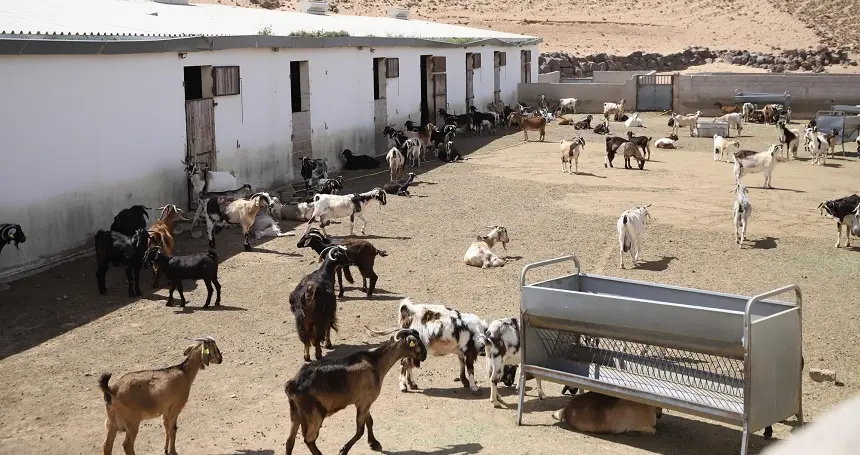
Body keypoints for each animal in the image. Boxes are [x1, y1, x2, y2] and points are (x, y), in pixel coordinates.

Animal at [286, 330, 426, 455]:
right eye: (417, 343)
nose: (425, 355)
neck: (376, 363)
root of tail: (294, 384)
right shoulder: (364, 402)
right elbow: (360, 430)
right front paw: (344, 450)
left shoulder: (364, 403)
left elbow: (369, 421)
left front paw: (374, 443)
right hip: (315, 415)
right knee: (309, 439)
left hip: (295, 413)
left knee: (290, 441)